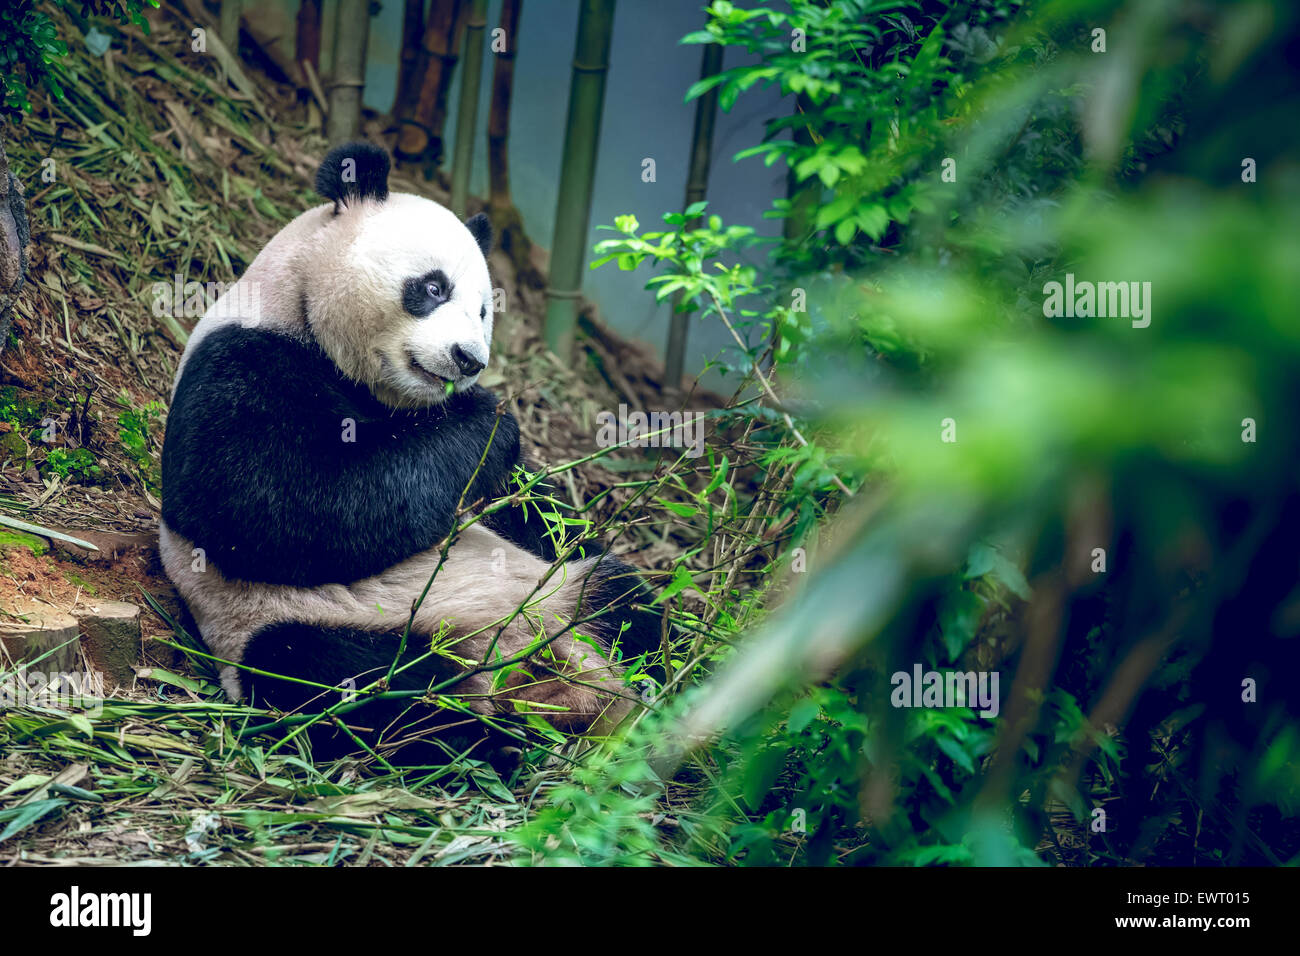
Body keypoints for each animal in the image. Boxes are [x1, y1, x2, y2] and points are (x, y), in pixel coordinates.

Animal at [161, 141, 660, 764]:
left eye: (483, 311)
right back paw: (487, 736)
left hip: (562, 591)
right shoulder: (241, 361)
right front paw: (490, 419)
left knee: (629, 603)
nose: (468, 360)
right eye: (433, 287)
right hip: (295, 620)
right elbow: (272, 509)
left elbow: (530, 510)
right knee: (344, 679)